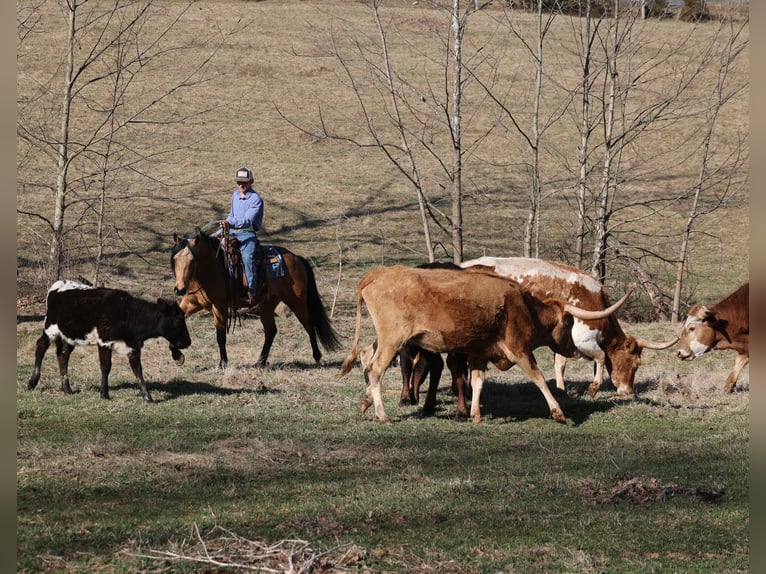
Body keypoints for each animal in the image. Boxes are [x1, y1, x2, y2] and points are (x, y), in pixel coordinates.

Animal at [170, 226, 340, 369]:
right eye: (175, 259)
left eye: (192, 260)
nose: (180, 289)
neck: (211, 269)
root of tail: (296, 258)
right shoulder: (190, 303)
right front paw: (177, 355)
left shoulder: (219, 307)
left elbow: (220, 337)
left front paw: (223, 364)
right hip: (267, 304)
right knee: (271, 331)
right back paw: (260, 361)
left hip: (296, 300)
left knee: (309, 325)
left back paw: (317, 357)